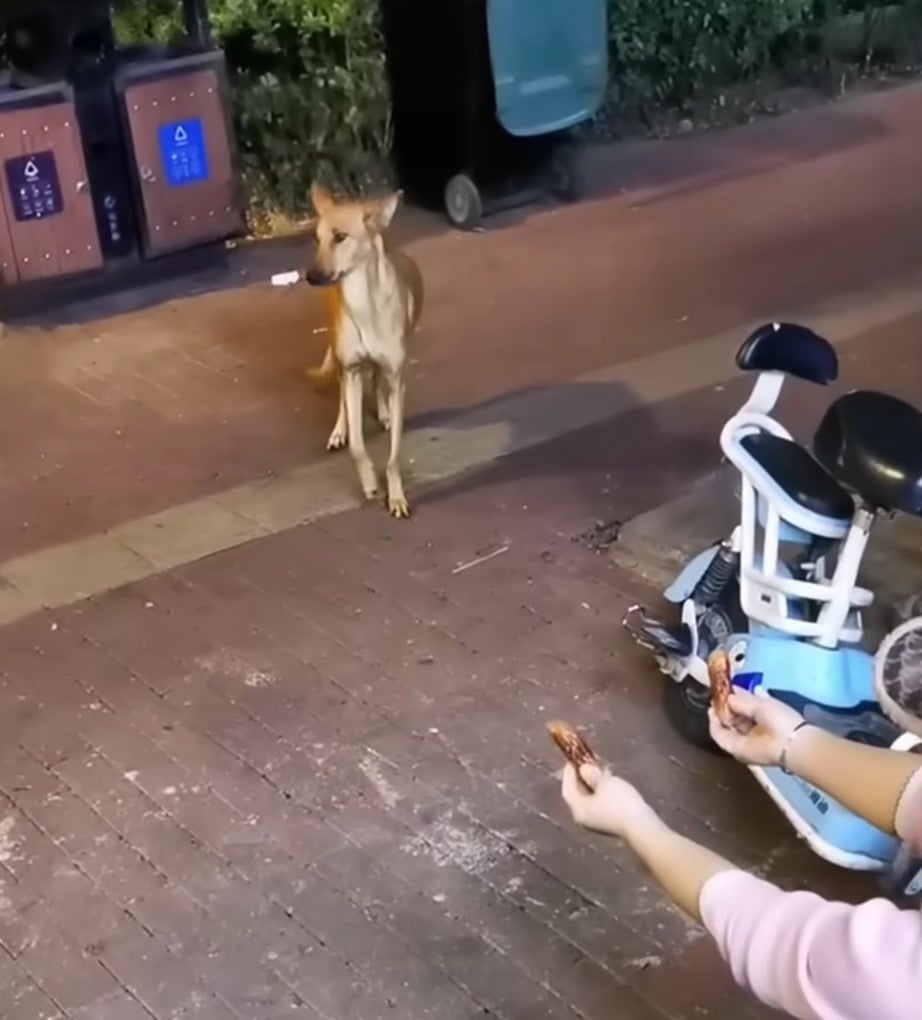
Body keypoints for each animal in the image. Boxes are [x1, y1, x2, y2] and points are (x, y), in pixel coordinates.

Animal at [310, 185, 424, 518]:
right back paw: (340, 429)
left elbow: (394, 454)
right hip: (341, 359)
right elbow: (358, 446)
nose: (310, 275)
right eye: (316, 239)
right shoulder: (352, 370)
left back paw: (383, 412)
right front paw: (370, 482)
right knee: (344, 400)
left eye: (340, 237)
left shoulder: (397, 378)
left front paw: (396, 496)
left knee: (378, 383)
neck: (364, 302)